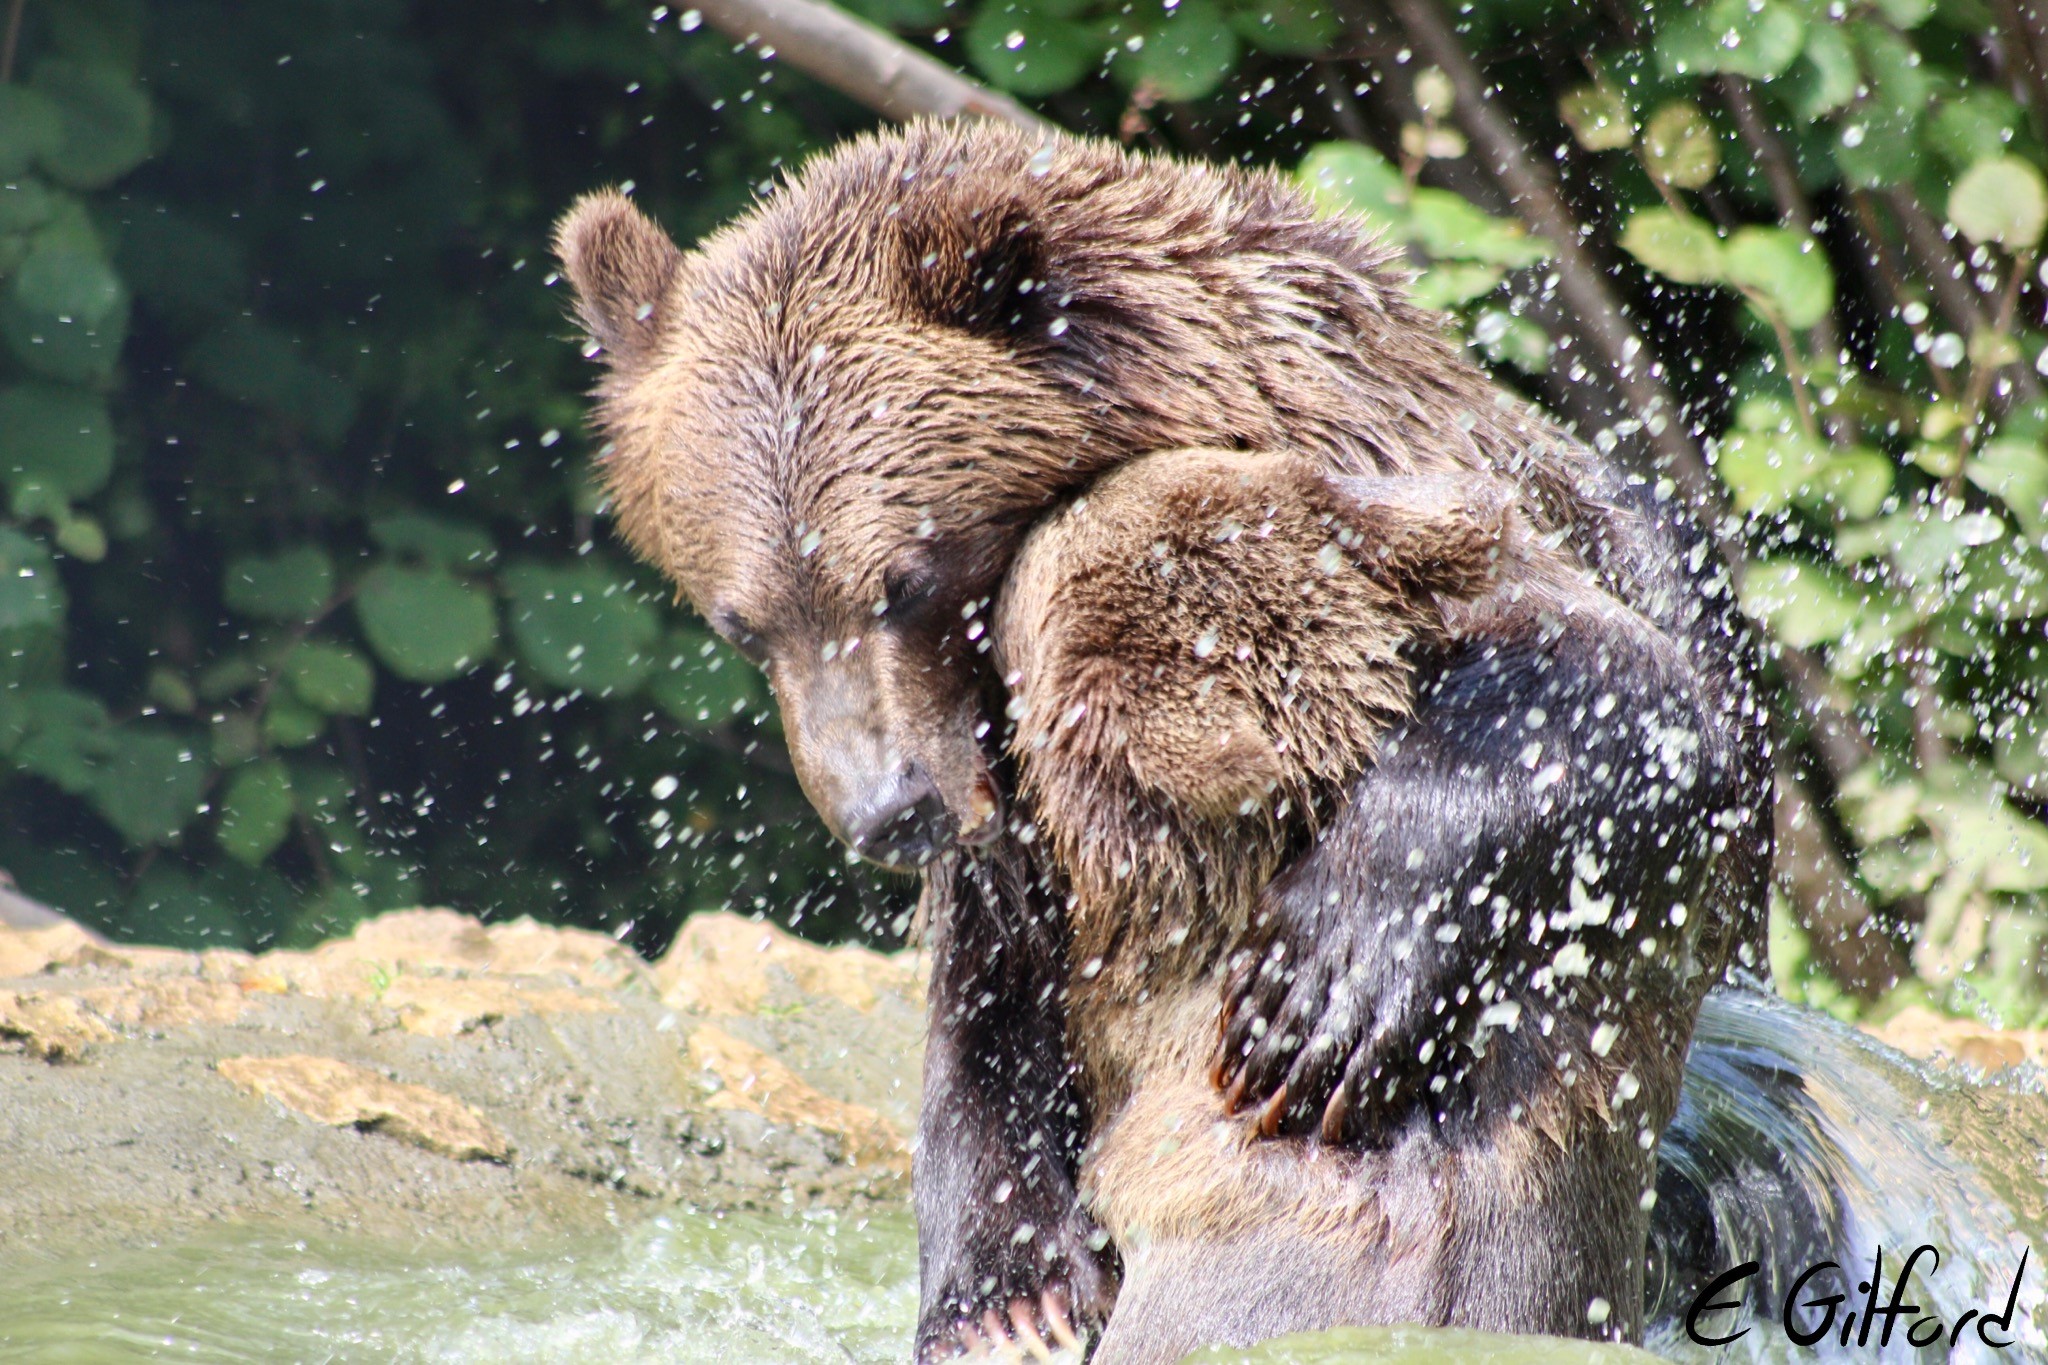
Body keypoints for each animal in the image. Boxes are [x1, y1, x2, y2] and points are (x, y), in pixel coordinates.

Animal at [552, 122, 1769, 1358]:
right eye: (741, 621)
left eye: (902, 580)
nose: (888, 811)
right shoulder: (1010, 832)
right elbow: (989, 1016)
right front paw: (1009, 1295)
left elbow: (1605, 694)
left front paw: (1318, 995)